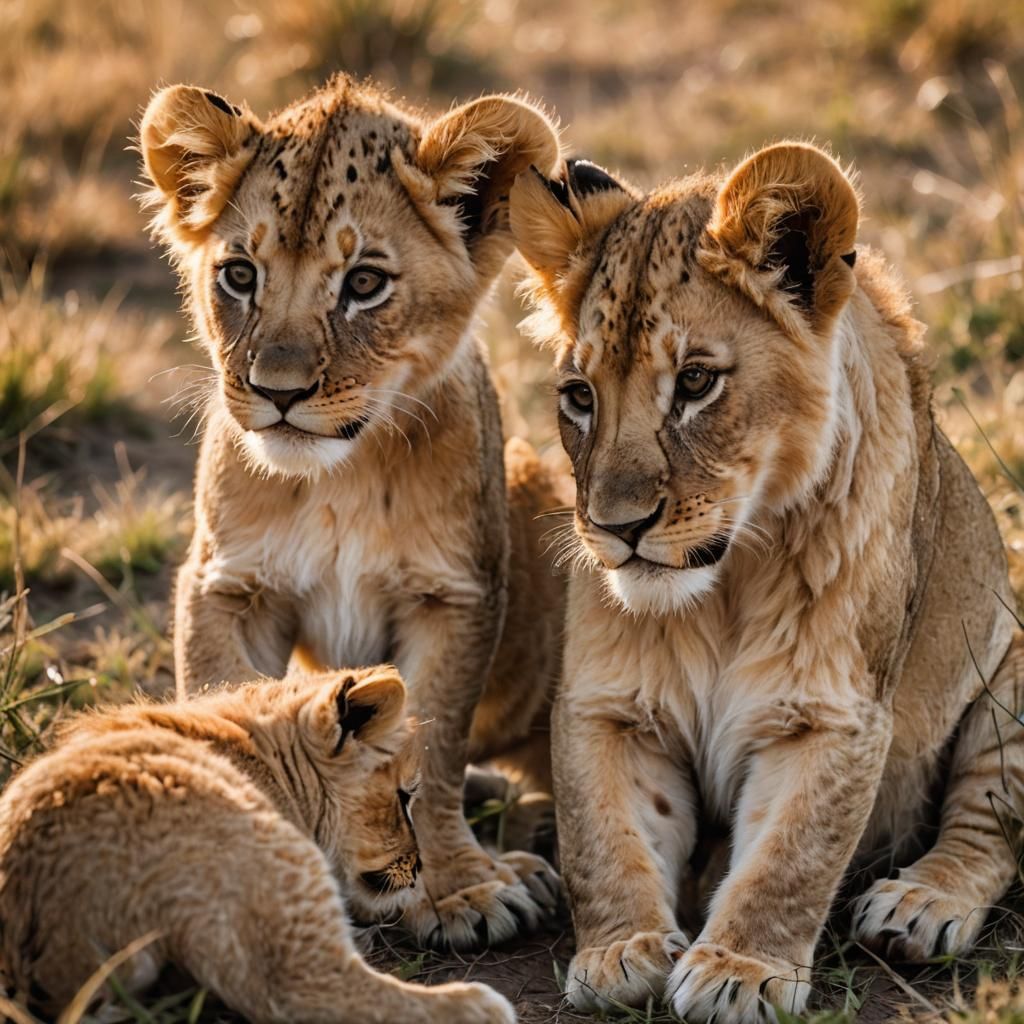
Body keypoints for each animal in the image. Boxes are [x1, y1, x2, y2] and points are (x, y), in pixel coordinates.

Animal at [137, 76, 565, 949]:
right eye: (240, 275)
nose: (278, 392)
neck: (338, 479)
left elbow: (432, 747)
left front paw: (463, 888)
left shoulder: (453, 595)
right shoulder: (229, 587)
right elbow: (225, 707)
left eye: (364, 283)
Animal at [508, 143, 1024, 1022]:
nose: (616, 526)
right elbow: (602, 837)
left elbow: (790, 855)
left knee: (985, 825)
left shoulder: (830, 714)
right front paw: (620, 952)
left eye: (695, 383)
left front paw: (740, 970)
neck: (725, 588)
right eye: (578, 398)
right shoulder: (606, 706)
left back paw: (918, 905)